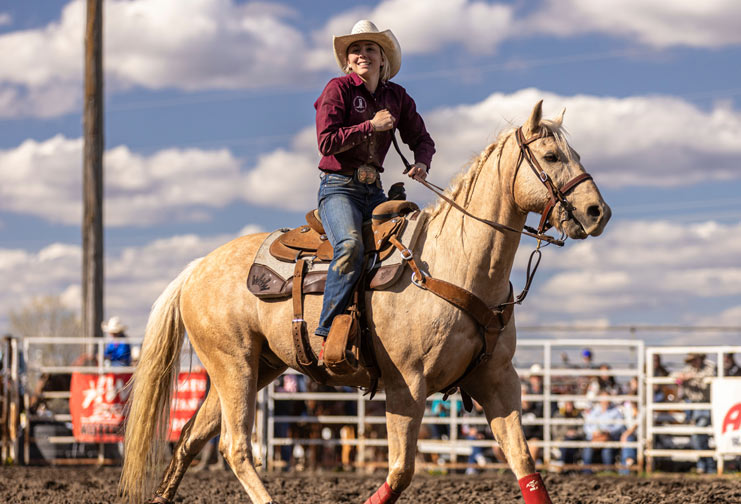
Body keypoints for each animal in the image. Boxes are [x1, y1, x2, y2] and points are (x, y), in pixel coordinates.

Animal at [119, 101, 611, 504]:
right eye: (551, 157)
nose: (598, 213)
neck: (456, 263)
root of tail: (196, 268)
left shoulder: (498, 380)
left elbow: (525, 464)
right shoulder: (406, 385)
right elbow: (400, 471)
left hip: (256, 367)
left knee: (189, 437)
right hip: (232, 364)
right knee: (235, 447)